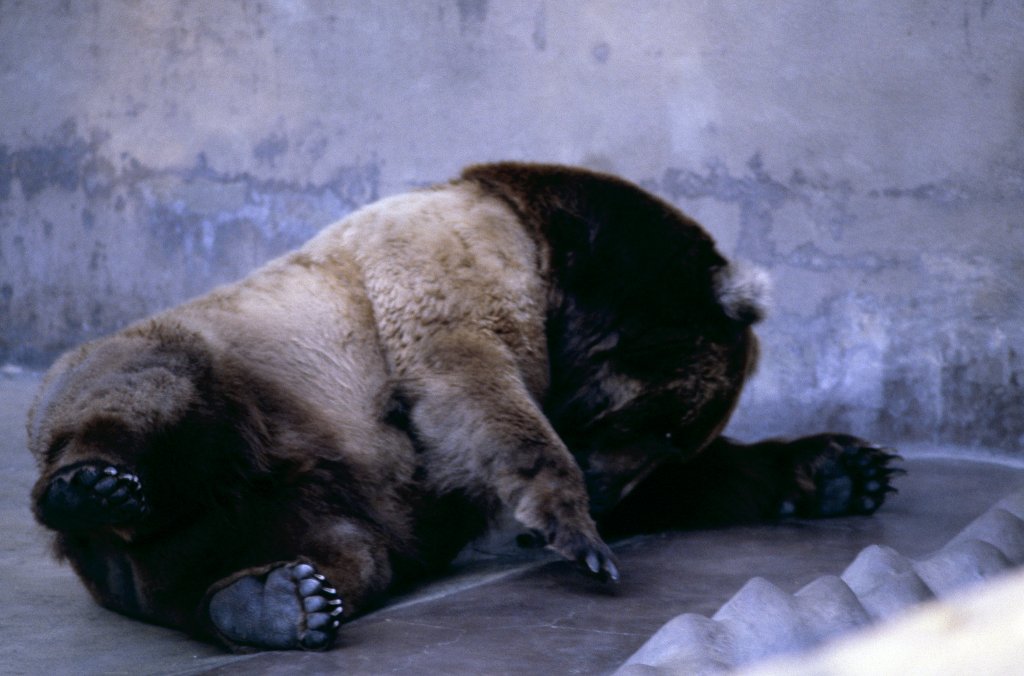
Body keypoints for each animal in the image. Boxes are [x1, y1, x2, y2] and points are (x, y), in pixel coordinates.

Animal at [27, 162, 902, 652]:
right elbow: (471, 381)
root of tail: (112, 559)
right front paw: (580, 535)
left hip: (308, 508)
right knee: (156, 395)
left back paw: (273, 602)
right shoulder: (457, 268)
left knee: (319, 555)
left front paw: (848, 469)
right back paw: (93, 486)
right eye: (658, 422)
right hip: (231, 371)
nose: (610, 492)